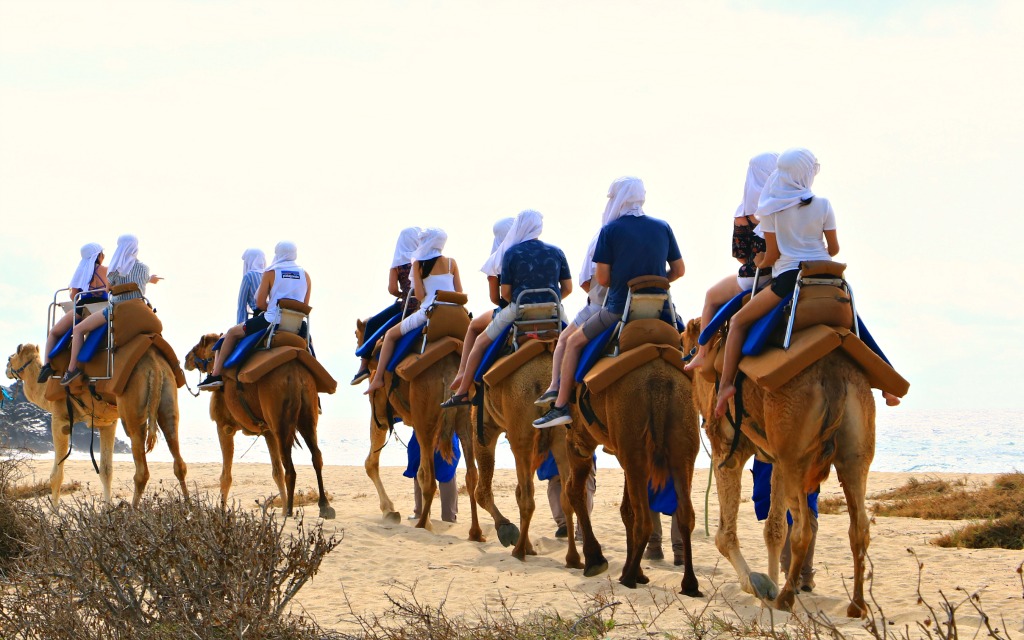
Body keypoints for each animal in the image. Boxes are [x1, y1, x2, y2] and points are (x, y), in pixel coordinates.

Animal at [184, 333, 335, 520]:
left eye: (198, 345)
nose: (186, 359)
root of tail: (296, 374)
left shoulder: (224, 426)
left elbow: (226, 476)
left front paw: (222, 513)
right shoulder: (268, 432)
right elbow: (276, 472)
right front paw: (281, 510)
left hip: (280, 418)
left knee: (290, 466)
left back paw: (291, 511)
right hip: (307, 411)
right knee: (316, 456)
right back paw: (324, 506)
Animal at [356, 317, 483, 532]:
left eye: (356, 335)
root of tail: (449, 371)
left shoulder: (380, 411)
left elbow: (370, 463)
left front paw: (389, 510)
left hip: (425, 413)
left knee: (427, 476)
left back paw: (424, 525)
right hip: (464, 417)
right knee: (471, 475)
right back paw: (475, 532)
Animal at [473, 346, 581, 565]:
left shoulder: (484, 424)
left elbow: (483, 492)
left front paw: (507, 530)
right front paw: (528, 545)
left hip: (520, 430)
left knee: (527, 498)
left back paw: (519, 550)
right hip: (559, 435)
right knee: (564, 496)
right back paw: (574, 559)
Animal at [561, 354, 704, 593]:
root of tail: (659, 383)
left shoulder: (580, 439)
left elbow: (576, 491)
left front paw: (595, 560)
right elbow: (627, 510)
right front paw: (637, 572)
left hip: (632, 436)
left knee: (643, 518)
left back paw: (627, 578)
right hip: (682, 441)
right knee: (685, 515)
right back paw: (690, 584)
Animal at [684, 317, 876, 618]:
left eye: (683, 343)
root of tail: (833, 376)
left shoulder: (726, 448)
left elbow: (725, 535)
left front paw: (758, 585)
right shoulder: (772, 459)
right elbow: (774, 528)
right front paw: (769, 587)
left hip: (795, 450)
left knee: (804, 529)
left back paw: (786, 598)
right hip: (854, 447)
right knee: (859, 528)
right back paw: (856, 605)